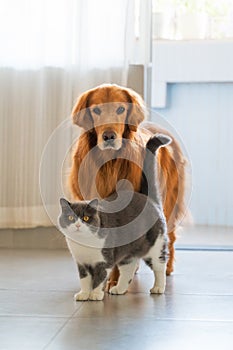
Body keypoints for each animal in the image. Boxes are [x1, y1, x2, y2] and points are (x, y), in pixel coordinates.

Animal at [58, 134, 171, 300]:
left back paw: (158, 287)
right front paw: (84, 294)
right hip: (128, 253)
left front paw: (95, 295)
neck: (84, 243)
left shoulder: (104, 260)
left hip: (155, 246)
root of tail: (148, 198)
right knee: (128, 269)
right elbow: (84, 280)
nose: (78, 225)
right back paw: (119, 289)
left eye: (86, 219)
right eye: (71, 218)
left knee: (160, 266)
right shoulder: (82, 263)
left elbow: (99, 278)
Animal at [68, 84, 186, 288]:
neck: (109, 163)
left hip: (169, 202)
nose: (108, 136)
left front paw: (113, 281)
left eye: (121, 109)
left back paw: (165, 269)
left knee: (168, 238)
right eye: (96, 110)